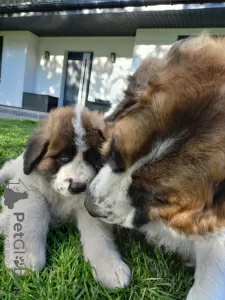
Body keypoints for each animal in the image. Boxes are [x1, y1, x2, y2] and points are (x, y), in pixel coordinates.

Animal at [0, 106, 130, 288]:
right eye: (63, 157)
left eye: (94, 158)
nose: (78, 187)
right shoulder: (31, 190)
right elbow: (31, 219)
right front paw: (25, 258)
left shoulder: (89, 205)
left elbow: (99, 236)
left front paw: (109, 267)